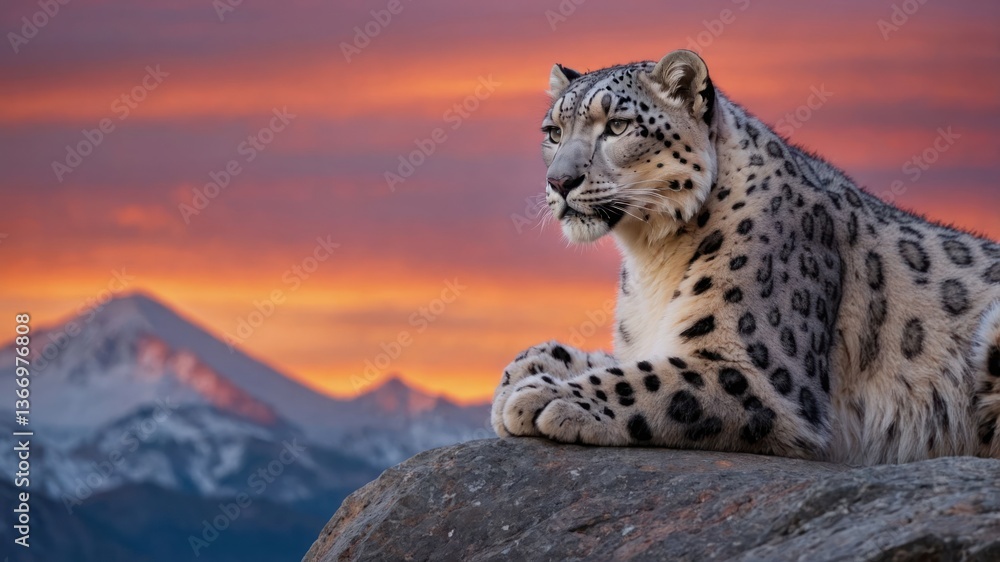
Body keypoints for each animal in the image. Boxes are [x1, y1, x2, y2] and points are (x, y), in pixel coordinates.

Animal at [491, 49, 1000, 465]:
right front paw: (527, 368)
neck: (650, 259)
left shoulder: (754, 372)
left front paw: (541, 396)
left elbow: (643, 380)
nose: (559, 182)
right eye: (553, 132)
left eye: (617, 125)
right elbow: (617, 359)